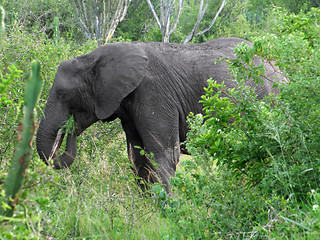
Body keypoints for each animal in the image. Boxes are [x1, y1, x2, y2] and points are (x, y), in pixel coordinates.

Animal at [35, 37, 280, 192]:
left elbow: (162, 155)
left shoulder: (154, 93)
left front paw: (169, 212)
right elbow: (137, 158)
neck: (93, 57)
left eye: (64, 95)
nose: (68, 128)